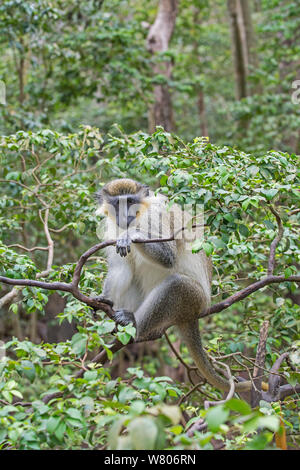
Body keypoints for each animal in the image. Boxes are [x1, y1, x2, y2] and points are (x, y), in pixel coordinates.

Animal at [95, 177, 252, 392]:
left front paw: (133, 235)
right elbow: (121, 270)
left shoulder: (156, 216)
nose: (125, 215)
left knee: (176, 285)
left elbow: (168, 257)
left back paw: (133, 322)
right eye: (117, 204)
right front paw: (104, 299)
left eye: (131, 201)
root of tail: (196, 312)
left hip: (193, 299)